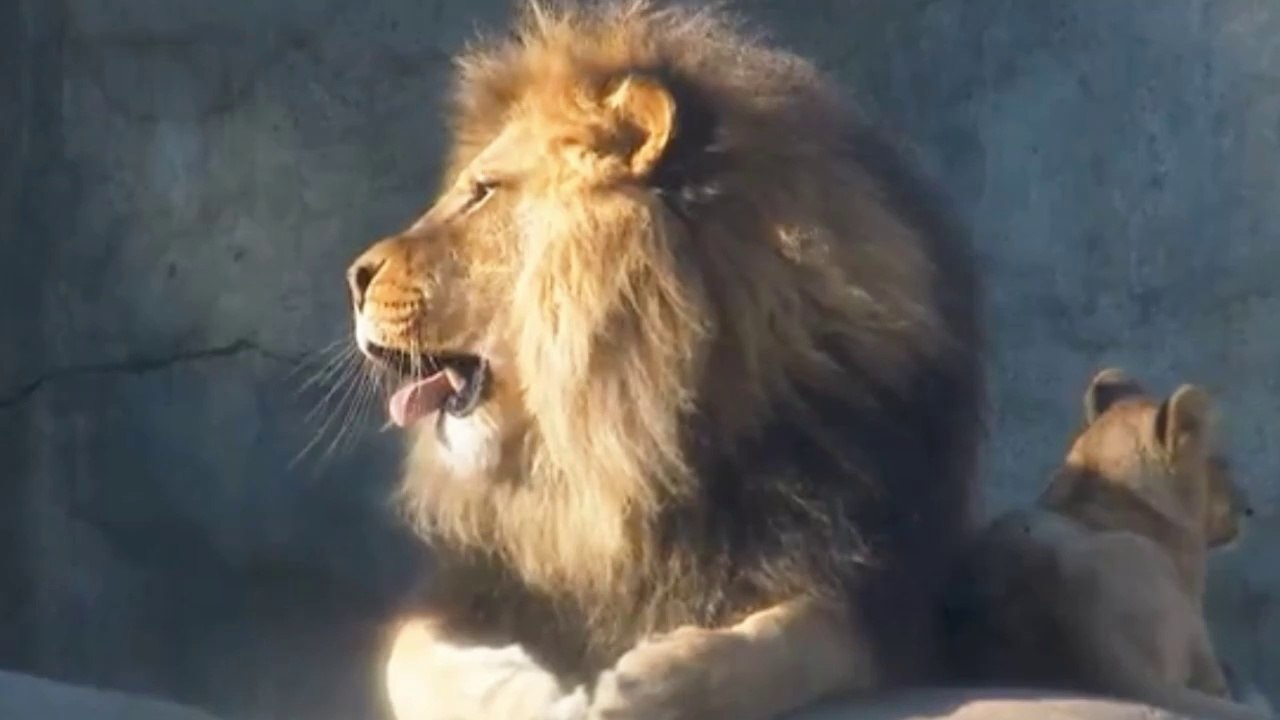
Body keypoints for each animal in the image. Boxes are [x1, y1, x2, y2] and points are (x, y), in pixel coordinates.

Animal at [343, 1, 984, 718]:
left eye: (482, 191)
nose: (354, 278)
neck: (619, 446)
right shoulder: (471, 581)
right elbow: (414, 656)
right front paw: (530, 694)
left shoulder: (872, 589)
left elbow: (787, 639)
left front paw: (643, 685)